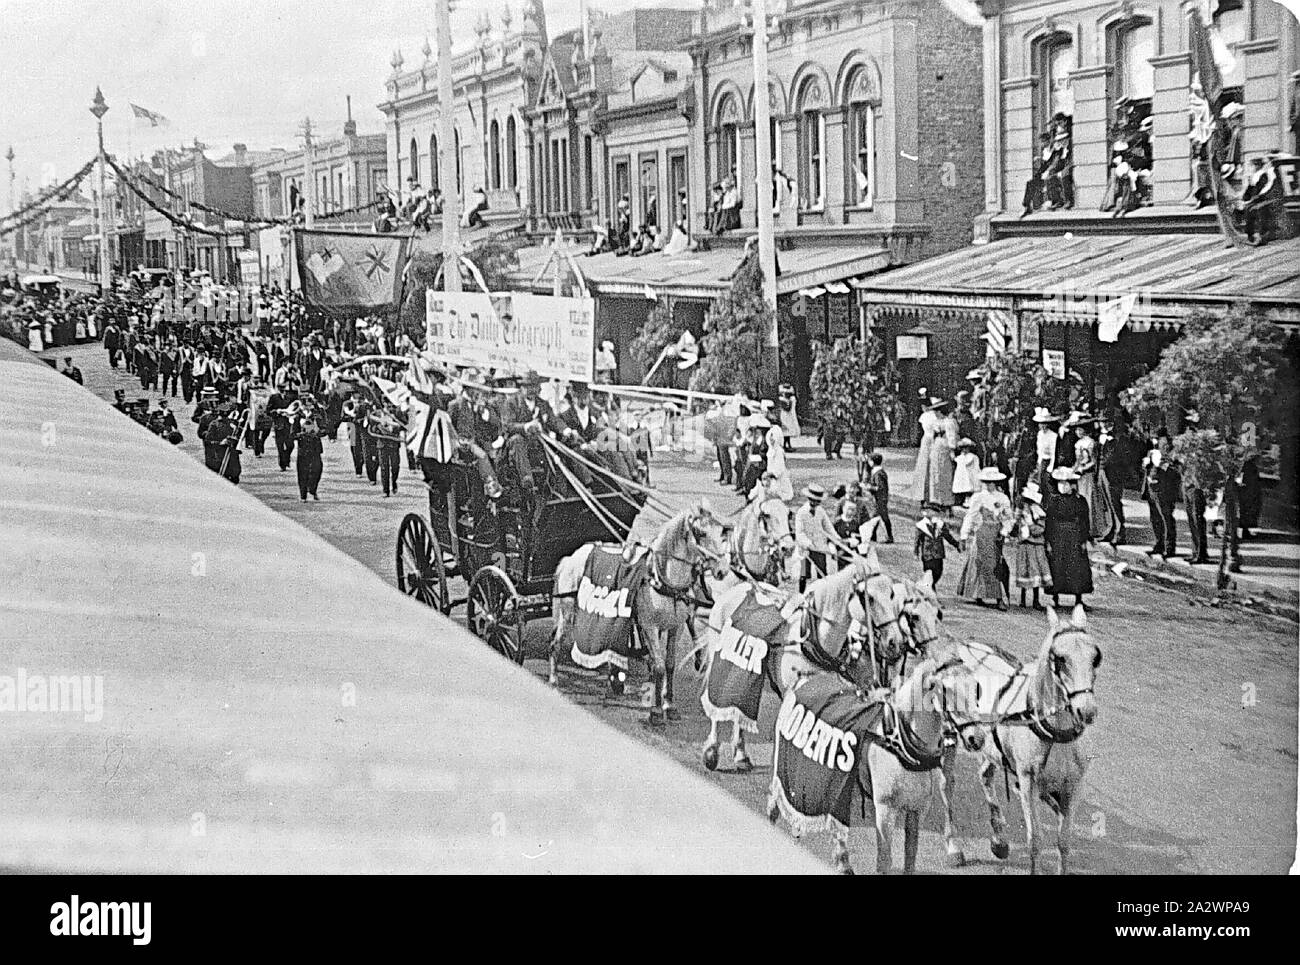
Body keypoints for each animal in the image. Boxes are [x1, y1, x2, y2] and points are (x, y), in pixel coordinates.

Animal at [548, 499, 733, 728]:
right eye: (701, 533)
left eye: (721, 534)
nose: (722, 570)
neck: (663, 581)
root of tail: (572, 556)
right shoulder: (649, 626)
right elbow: (659, 666)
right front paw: (656, 711)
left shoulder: (676, 627)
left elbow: (669, 664)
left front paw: (669, 705)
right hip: (567, 612)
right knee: (556, 643)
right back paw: (554, 679)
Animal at [930, 611, 1102, 879]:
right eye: (1059, 658)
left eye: (1095, 657)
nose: (1087, 710)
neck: (1055, 734)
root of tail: (963, 645)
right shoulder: (1028, 779)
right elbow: (1035, 840)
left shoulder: (1073, 786)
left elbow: (1064, 841)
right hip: (951, 729)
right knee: (947, 784)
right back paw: (953, 846)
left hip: (988, 746)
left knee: (985, 775)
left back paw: (998, 839)